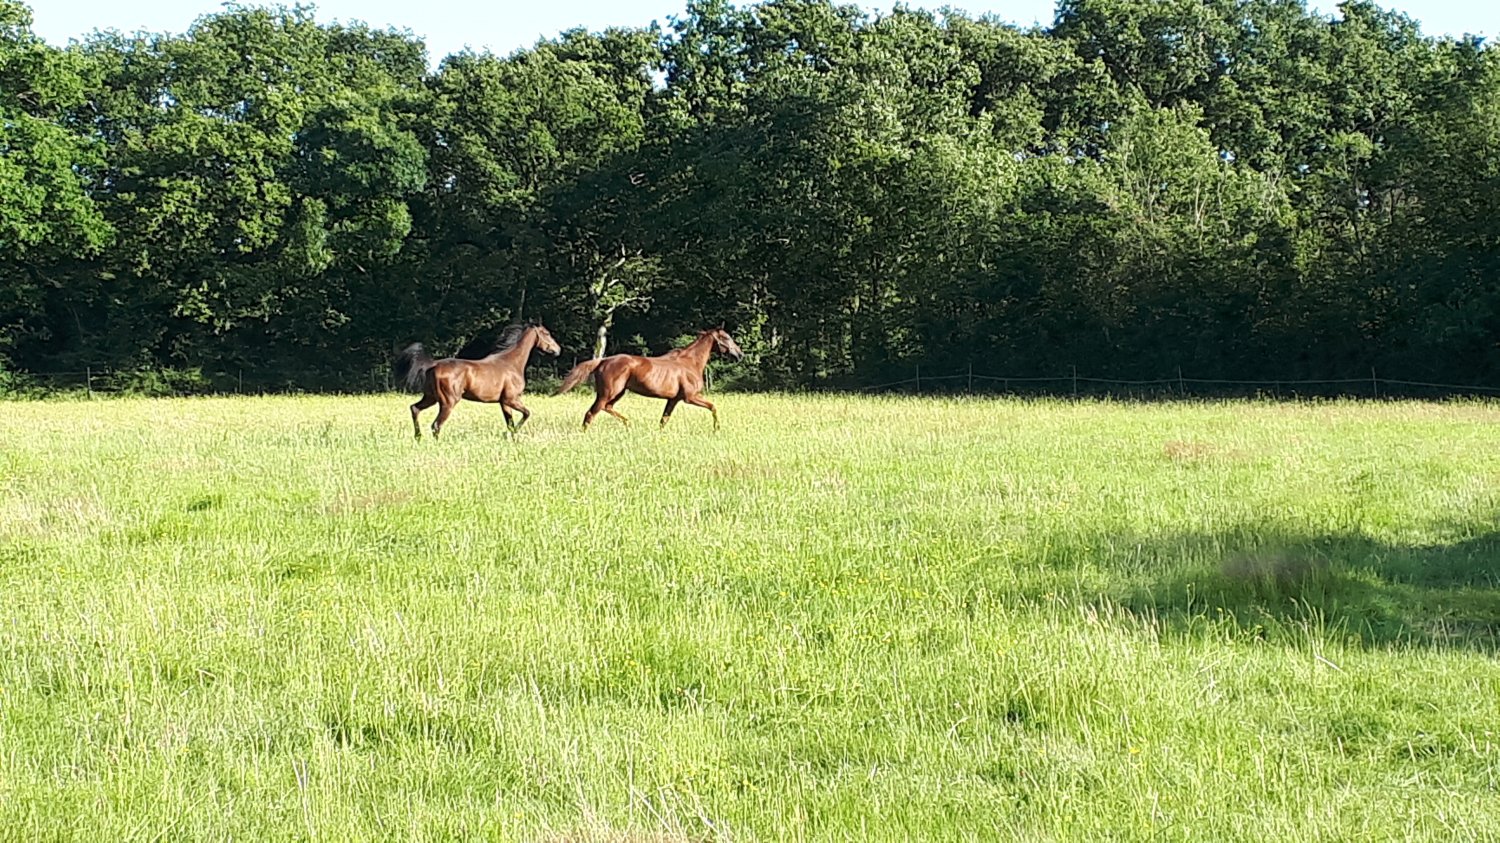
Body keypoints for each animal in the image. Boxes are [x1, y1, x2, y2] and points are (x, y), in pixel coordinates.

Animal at [394, 323, 562, 439]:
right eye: (547, 333)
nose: (558, 350)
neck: (512, 363)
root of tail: (433, 365)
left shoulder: (504, 402)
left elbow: (510, 423)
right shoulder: (511, 399)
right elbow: (526, 414)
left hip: (431, 397)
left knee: (415, 409)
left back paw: (418, 437)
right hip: (448, 402)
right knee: (436, 425)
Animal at [556, 328, 744, 430]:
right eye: (726, 337)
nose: (739, 354)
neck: (691, 363)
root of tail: (602, 360)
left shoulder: (673, 399)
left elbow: (663, 420)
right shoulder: (690, 397)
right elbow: (713, 407)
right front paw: (716, 429)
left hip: (618, 393)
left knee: (606, 408)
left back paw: (628, 423)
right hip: (608, 393)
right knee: (591, 413)